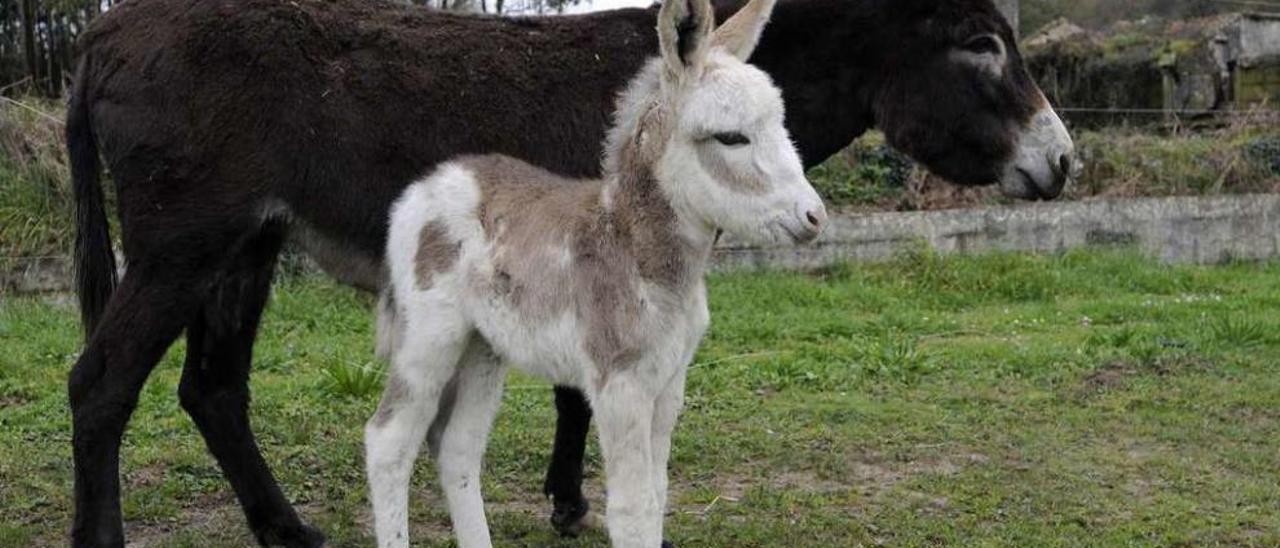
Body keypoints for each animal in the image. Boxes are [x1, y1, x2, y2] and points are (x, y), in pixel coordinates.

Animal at [366, 0, 824, 542]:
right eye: (731, 137)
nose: (815, 217)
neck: (636, 252)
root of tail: (430, 182)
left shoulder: (669, 384)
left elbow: (656, 496)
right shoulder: (618, 386)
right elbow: (631, 510)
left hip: (483, 346)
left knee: (457, 448)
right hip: (429, 336)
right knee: (389, 440)